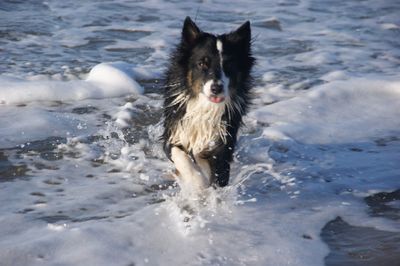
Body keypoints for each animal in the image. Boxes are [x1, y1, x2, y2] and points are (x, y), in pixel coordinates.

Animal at [162, 17, 253, 193]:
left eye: (229, 65)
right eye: (202, 64)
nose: (216, 88)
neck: (205, 107)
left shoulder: (223, 144)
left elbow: (217, 174)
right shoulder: (174, 133)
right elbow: (181, 156)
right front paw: (197, 184)